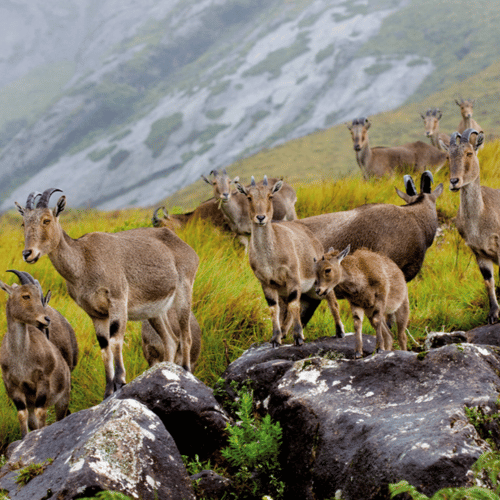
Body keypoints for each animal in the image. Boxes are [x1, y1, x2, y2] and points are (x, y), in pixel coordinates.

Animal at [0, 270, 78, 438]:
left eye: (39, 297)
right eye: (26, 296)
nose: (46, 319)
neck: (21, 358)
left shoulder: (43, 380)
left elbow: (40, 412)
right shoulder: (13, 385)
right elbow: (22, 415)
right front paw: (24, 438)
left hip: (63, 397)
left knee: (60, 416)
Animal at [15, 188, 197, 398]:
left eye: (46, 220)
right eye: (24, 222)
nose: (28, 253)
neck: (84, 262)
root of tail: (187, 248)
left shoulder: (117, 300)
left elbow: (115, 340)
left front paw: (121, 380)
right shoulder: (95, 313)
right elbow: (104, 347)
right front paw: (108, 389)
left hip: (184, 291)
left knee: (185, 336)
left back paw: (186, 371)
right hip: (155, 312)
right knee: (170, 340)